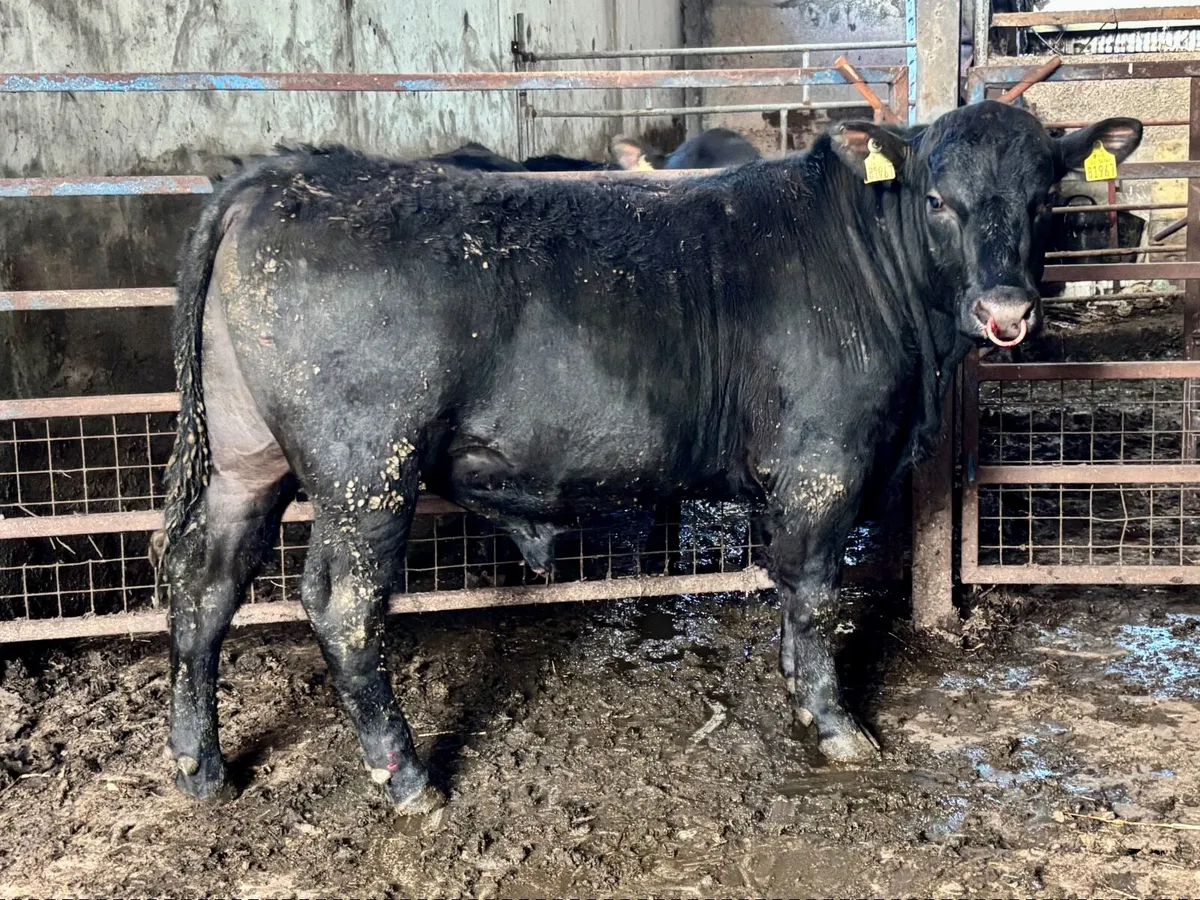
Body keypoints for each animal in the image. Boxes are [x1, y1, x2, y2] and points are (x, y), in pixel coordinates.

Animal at [160, 101, 1141, 814]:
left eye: (1046, 199)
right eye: (938, 198)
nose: (1005, 310)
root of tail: (285, 172)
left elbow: (794, 591)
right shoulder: (826, 460)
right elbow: (814, 588)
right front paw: (832, 722)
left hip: (248, 463)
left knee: (204, 588)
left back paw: (201, 767)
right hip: (368, 470)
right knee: (343, 605)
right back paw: (406, 779)